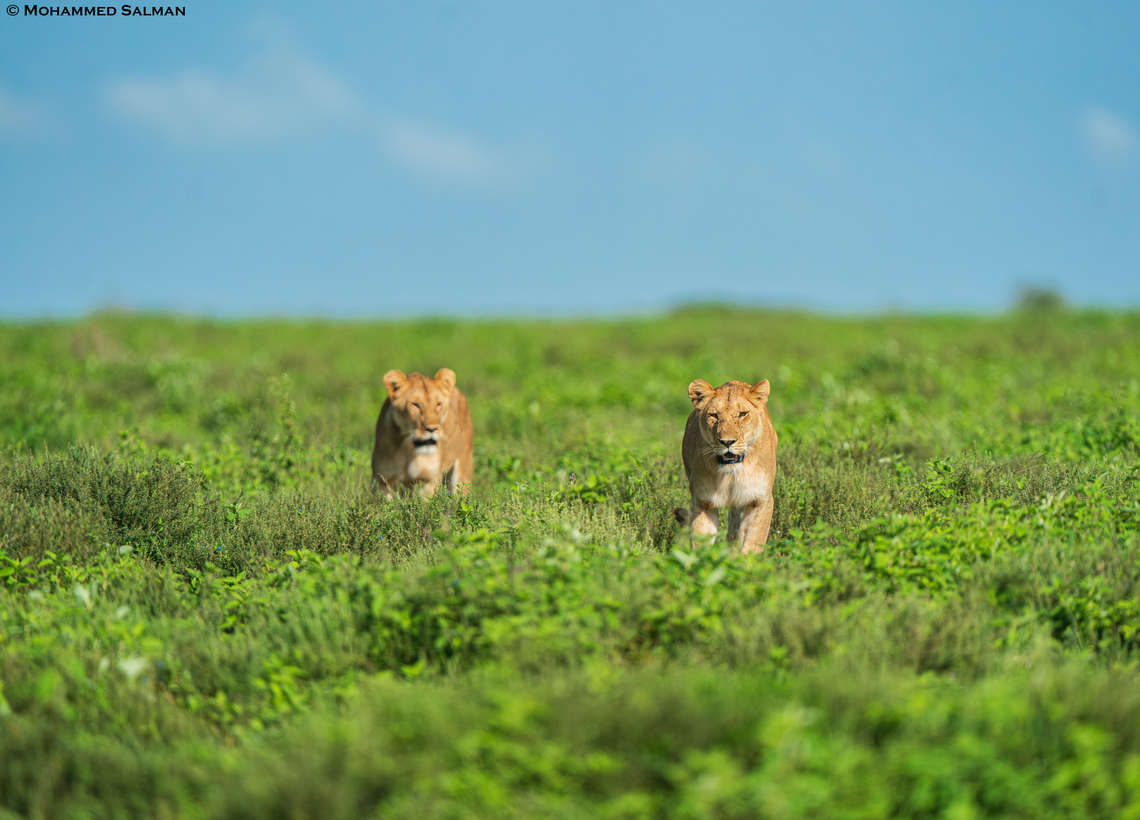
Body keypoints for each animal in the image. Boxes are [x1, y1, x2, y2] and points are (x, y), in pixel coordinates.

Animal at [371, 368, 474, 497]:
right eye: (415, 405)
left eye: (438, 404)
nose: (432, 429)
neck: (407, 448)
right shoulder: (382, 480)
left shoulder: (428, 480)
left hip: (463, 469)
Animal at [675, 378, 778, 554]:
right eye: (714, 415)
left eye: (743, 414)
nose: (727, 442)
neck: (731, 475)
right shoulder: (702, 501)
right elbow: (701, 541)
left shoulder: (760, 501)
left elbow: (752, 544)